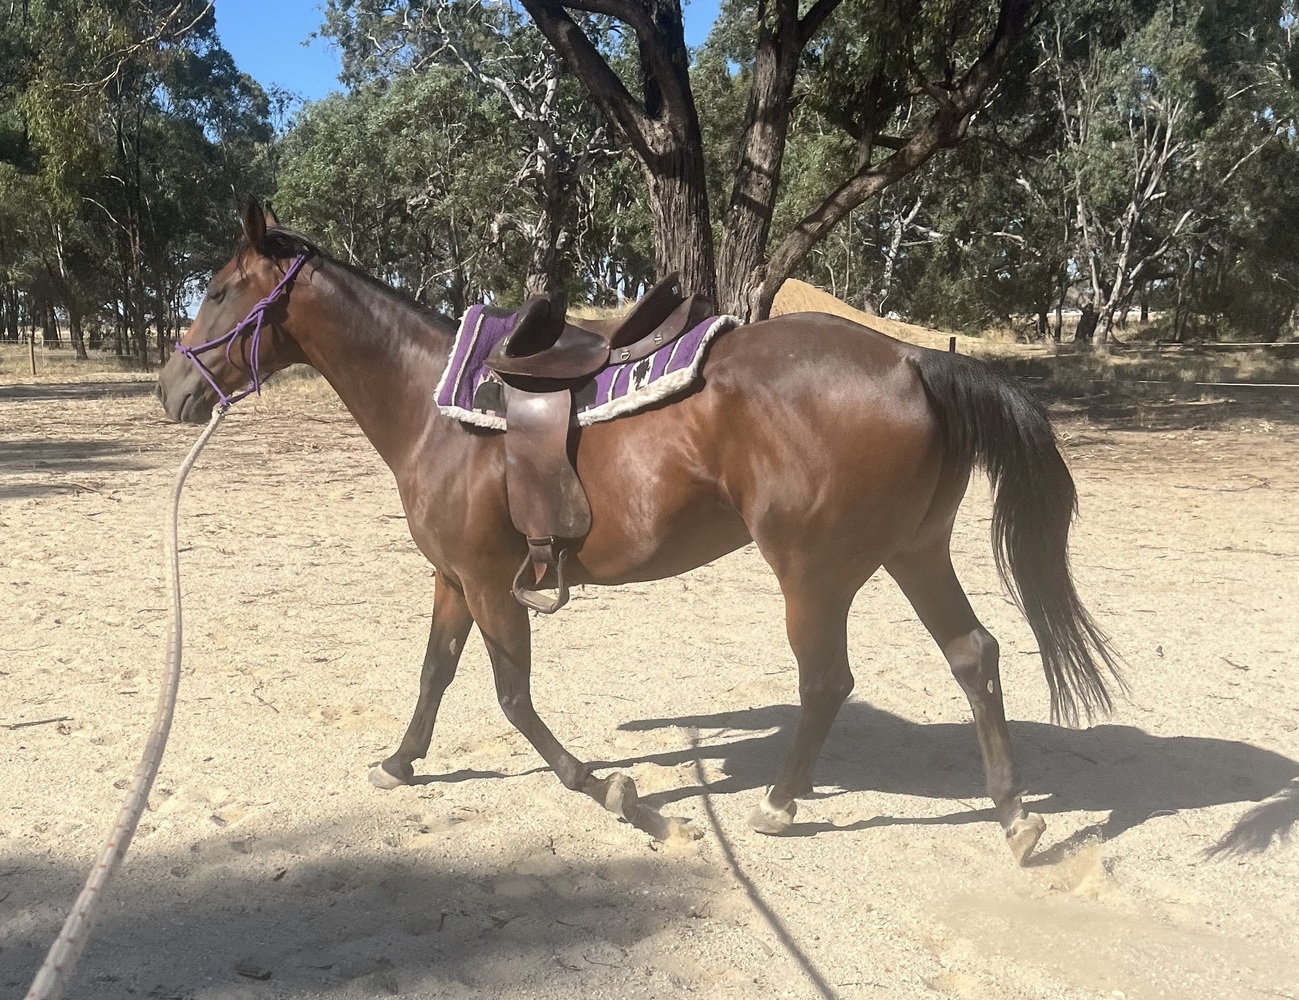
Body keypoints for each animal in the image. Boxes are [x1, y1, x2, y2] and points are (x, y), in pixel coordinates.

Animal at [157, 203, 1121, 864]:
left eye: (217, 290)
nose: (171, 389)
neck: (433, 406)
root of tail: (912, 360)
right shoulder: (451, 579)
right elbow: (434, 675)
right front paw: (399, 763)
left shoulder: (487, 580)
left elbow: (513, 700)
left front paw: (621, 797)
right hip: (911, 552)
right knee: (973, 655)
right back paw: (1014, 815)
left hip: (814, 573)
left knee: (826, 683)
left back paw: (779, 803)